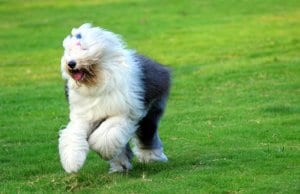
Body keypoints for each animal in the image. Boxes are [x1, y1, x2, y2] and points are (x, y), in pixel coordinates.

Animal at [58, 23, 171, 174]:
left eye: (84, 48)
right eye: (69, 51)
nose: (71, 63)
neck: (98, 83)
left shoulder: (121, 114)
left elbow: (106, 135)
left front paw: (100, 149)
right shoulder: (84, 116)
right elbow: (72, 135)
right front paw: (72, 162)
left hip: (150, 111)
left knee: (147, 133)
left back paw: (152, 157)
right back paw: (120, 166)